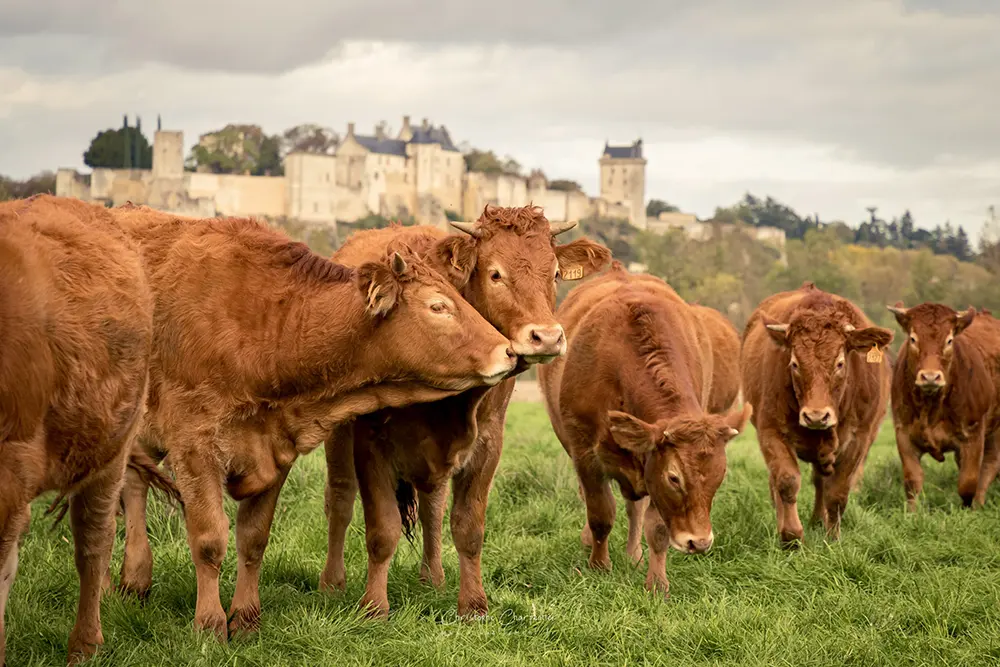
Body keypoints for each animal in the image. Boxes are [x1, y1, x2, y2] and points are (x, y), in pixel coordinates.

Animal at [105, 204, 518, 640]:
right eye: (438, 306)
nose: (508, 351)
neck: (270, 324)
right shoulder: (195, 450)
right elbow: (209, 540)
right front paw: (211, 624)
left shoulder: (273, 451)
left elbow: (253, 537)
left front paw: (246, 618)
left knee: (132, 487)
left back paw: (133, 579)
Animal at [319, 205, 612, 618]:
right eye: (495, 274)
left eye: (554, 273)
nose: (547, 337)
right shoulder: (371, 443)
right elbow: (382, 530)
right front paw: (374, 606)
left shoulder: (486, 445)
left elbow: (467, 527)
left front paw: (473, 604)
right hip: (338, 435)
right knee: (341, 499)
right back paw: (332, 582)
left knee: (432, 507)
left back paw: (433, 576)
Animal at [538, 263, 751, 595]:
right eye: (674, 478)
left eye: (721, 474)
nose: (699, 542)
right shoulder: (585, 454)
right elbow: (600, 513)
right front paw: (599, 565)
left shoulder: (651, 463)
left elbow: (657, 527)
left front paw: (657, 582)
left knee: (634, 508)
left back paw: (634, 553)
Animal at [741, 282, 893, 545]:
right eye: (794, 363)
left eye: (840, 363)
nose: (815, 416)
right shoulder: (770, 431)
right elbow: (786, 482)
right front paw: (791, 537)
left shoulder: (859, 439)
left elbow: (838, 492)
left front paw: (833, 539)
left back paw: (819, 521)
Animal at [887, 302, 1000, 509]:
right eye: (913, 339)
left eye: (949, 341)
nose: (930, 377)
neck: (931, 406)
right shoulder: (903, 434)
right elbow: (913, 480)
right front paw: (912, 513)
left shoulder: (973, 435)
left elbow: (968, 482)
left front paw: (967, 510)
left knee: (989, 465)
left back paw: (978, 504)